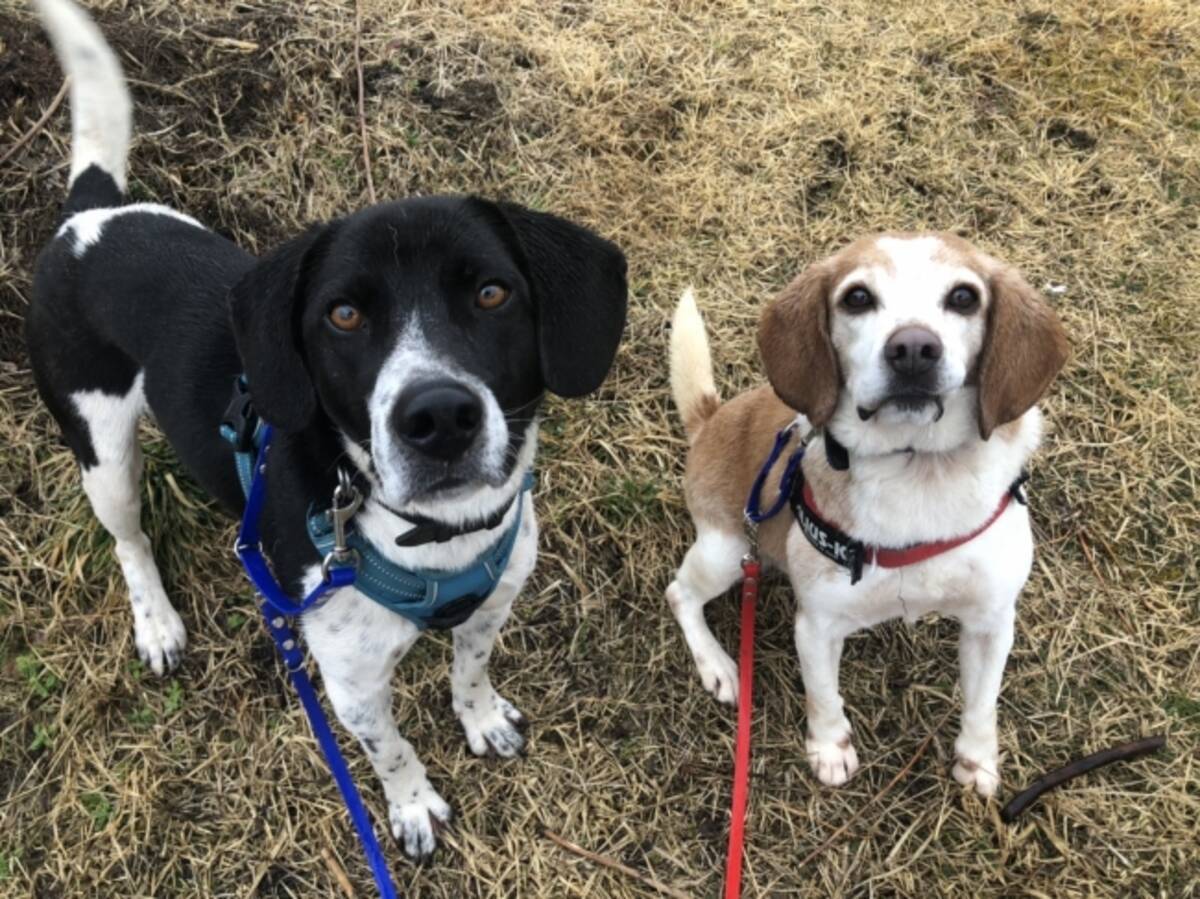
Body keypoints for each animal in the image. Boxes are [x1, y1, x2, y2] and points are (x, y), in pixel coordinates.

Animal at [28, 0, 626, 859]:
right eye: (342, 314)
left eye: (491, 293)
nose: (438, 417)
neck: (435, 534)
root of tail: (88, 217)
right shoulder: (352, 683)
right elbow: (390, 748)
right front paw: (412, 806)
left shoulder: (493, 605)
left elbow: (470, 668)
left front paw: (479, 718)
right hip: (101, 448)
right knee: (129, 538)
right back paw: (157, 621)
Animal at [667, 233, 1067, 796]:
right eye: (857, 298)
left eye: (964, 298)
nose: (914, 349)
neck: (917, 468)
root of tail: (710, 416)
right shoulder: (818, 625)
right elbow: (823, 697)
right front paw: (830, 749)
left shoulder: (991, 621)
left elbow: (983, 703)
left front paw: (976, 760)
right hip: (726, 551)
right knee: (679, 594)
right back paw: (718, 665)